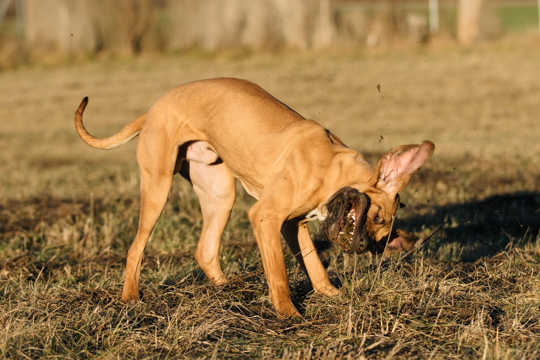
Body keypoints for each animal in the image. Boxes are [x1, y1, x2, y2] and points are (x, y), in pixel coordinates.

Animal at [75, 77, 434, 316]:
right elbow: (279, 273)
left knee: (205, 250)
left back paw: (227, 289)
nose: (360, 245)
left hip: (220, 194)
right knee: (135, 249)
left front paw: (332, 295)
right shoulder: (266, 216)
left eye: (380, 236)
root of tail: (154, 108)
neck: (333, 165)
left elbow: (314, 265)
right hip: (158, 187)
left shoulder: (292, 224)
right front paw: (289, 314)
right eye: (375, 217)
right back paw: (131, 300)